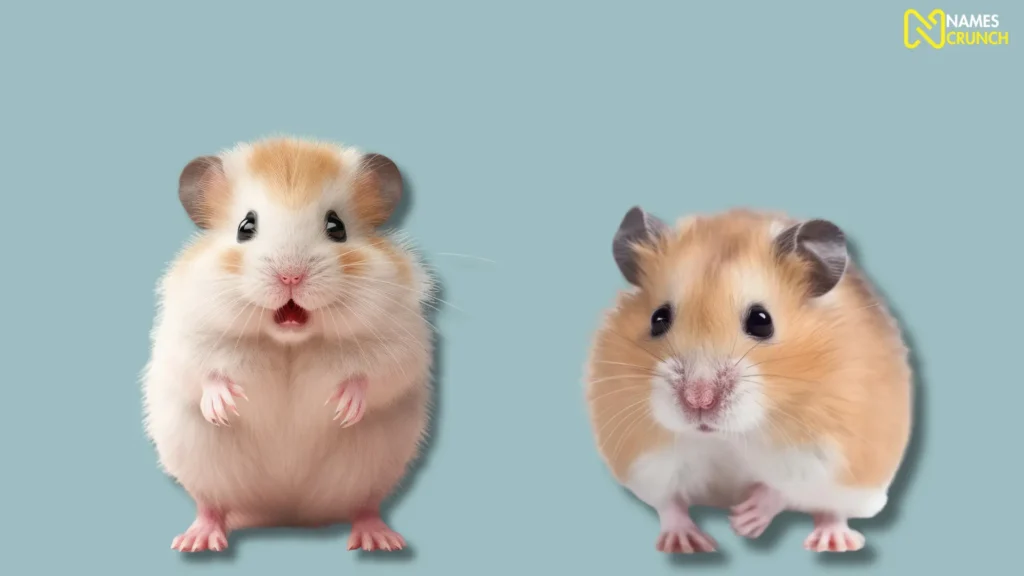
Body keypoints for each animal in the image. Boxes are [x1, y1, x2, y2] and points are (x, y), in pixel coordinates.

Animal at [142, 137, 434, 553]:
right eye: (245, 227)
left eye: (337, 227)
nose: (291, 276)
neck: (290, 341)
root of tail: (286, 514)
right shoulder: (184, 338)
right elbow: (203, 373)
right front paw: (224, 406)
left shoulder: (400, 341)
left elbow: (374, 376)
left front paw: (344, 408)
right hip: (201, 467)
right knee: (210, 505)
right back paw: (197, 541)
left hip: (371, 473)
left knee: (365, 506)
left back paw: (380, 540)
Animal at [584, 206, 912, 554]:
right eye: (658, 318)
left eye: (761, 321)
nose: (698, 400)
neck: (727, 437)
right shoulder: (646, 460)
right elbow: (670, 503)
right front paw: (688, 544)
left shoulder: (823, 454)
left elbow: (784, 489)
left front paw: (744, 521)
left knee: (831, 510)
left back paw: (833, 542)